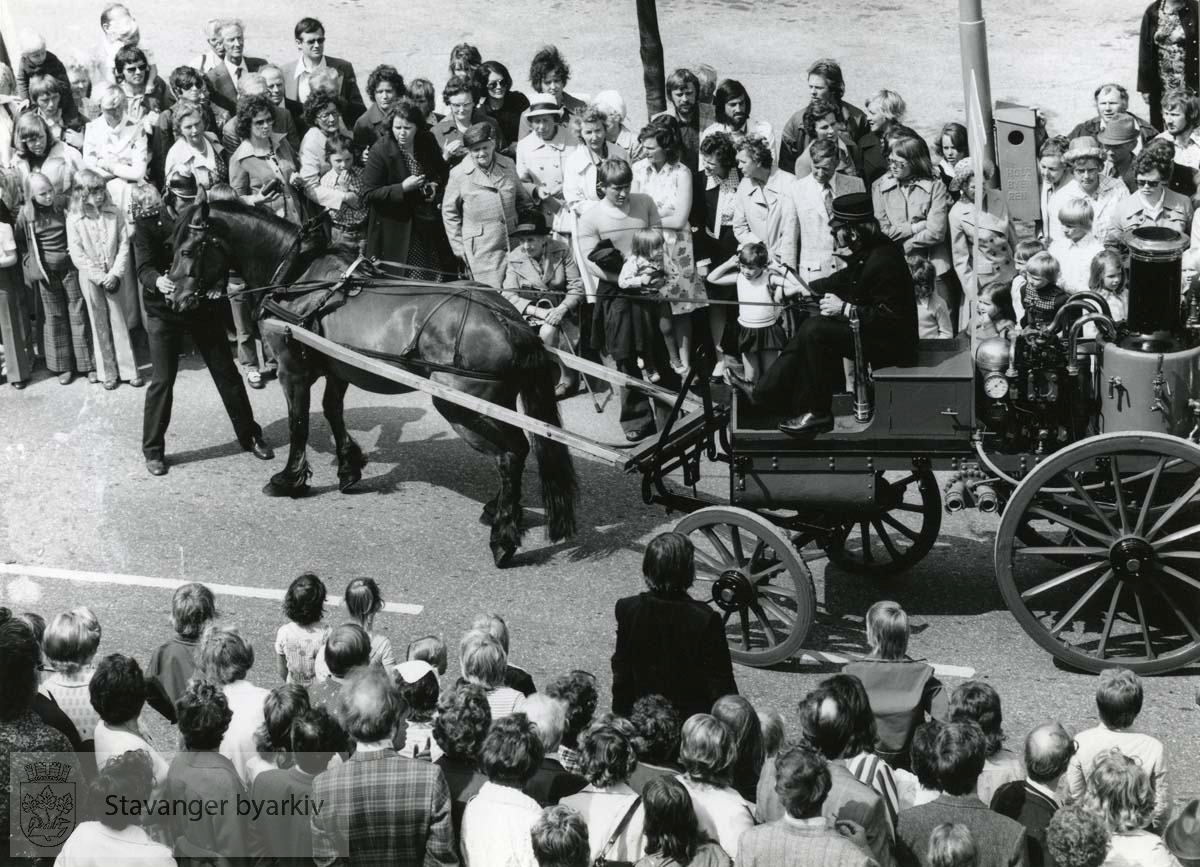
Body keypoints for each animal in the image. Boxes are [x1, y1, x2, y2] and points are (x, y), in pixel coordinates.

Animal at [165, 202, 576, 566]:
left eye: (187, 250)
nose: (175, 298)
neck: (299, 276)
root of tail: (509, 319)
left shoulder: (290, 368)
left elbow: (299, 424)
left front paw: (289, 479)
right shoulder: (339, 367)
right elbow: (332, 411)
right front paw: (349, 467)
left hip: (461, 405)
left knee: (510, 454)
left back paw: (504, 536)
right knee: (518, 450)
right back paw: (500, 509)